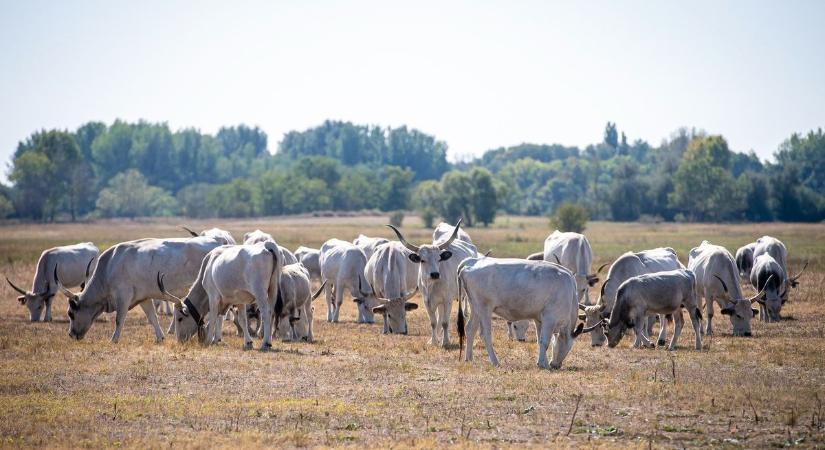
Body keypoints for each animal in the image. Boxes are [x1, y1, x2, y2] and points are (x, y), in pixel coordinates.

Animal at [55, 237, 225, 342]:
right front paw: (160, 337)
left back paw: (215, 337)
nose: (71, 334)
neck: (109, 267)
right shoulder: (143, 298)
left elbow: (119, 320)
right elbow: (152, 317)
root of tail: (218, 241)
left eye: (71, 313)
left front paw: (114, 339)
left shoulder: (123, 297)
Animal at [454, 256, 596, 370]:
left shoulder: (539, 320)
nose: (556, 365)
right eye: (569, 346)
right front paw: (543, 364)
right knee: (485, 335)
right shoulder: (550, 318)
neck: (569, 292)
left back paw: (469, 358)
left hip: (475, 307)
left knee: (470, 329)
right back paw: (495, 361)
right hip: (484, 309)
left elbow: (540, 341)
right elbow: (545, 341)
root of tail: (472, 261)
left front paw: (542, 361)